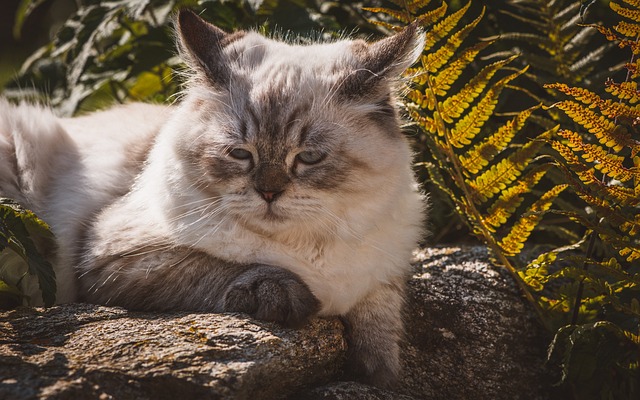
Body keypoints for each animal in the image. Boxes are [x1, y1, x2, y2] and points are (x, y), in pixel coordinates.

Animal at [2, 10, 428, 388]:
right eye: (240, 154)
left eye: (308, 157)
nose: (269, 192)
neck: (308, 251)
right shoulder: (115, 260)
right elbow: (231, 268)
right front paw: (293, 300)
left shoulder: (384, 269)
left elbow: (381, 319)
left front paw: (378, 371)